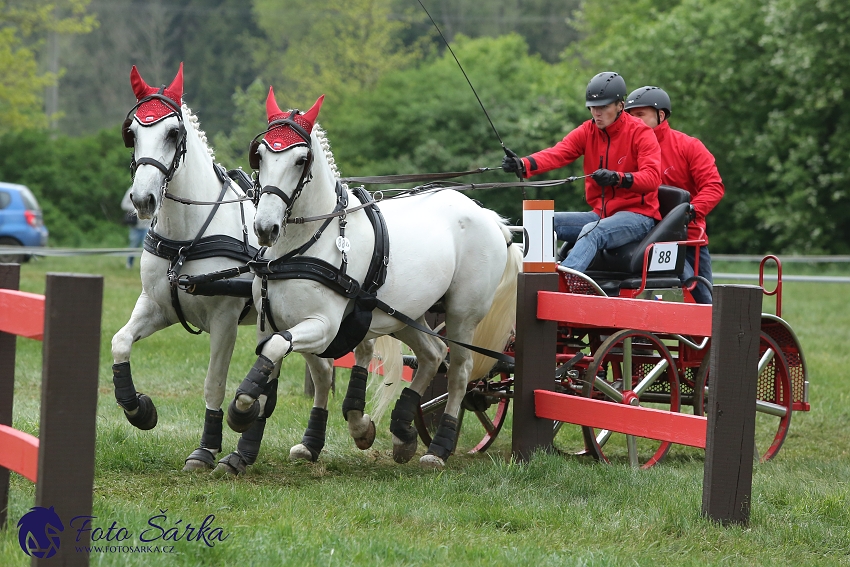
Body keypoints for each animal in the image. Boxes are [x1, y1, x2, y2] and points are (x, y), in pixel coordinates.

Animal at [112, 62, 274, 474]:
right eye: (131, 132)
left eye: (173, 132)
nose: (142, 199)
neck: (185, 239)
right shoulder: (158, 306)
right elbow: (120, 342)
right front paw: (138, 409)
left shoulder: (224, 321)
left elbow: (213, 383)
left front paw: (205, 449)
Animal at [225, 89, 520, 468]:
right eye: (259, 155)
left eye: (301, 159)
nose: (265, 228)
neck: (299, 249)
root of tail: (488, 216)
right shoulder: (272, 323)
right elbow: (274, 370)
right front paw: (246, 447)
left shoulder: (324, 324)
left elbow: (279, 356)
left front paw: (240, 409)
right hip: (403, 314)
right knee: (432, 354)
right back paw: (403, 432)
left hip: (461, 314)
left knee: (459, 370)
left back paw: (439, 447)